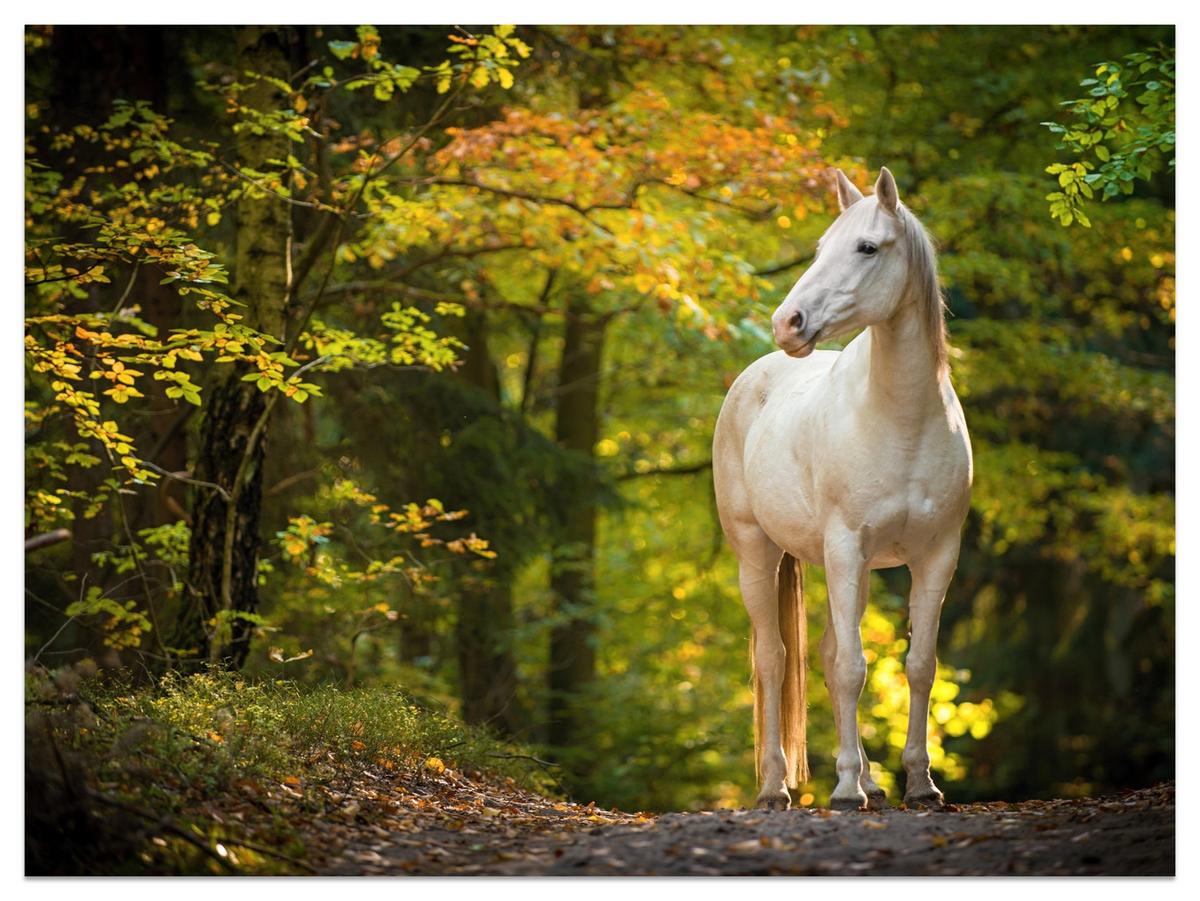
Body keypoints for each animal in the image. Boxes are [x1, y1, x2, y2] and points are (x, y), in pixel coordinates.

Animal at [712, 167, 972, 812]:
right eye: (819, 248)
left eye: (867, 248)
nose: (789, 323)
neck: (902, 421)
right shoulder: (846, 546)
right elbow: (854, 668)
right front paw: (846, 791)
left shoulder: (937, 555)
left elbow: (918, 664)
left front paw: (919, 783)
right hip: (758, 553)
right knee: (774, 659)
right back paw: (777, 787)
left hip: (845, 567)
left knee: (829, 654)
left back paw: (871, 782)